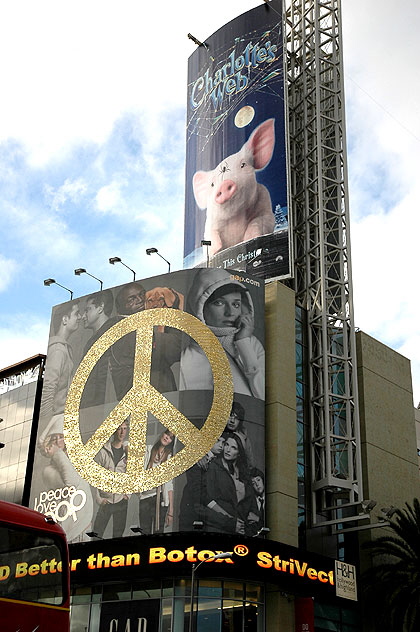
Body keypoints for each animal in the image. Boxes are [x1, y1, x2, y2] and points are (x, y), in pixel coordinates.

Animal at [185, 0, 290, 282]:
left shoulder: (265, 206)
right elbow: (213, 240)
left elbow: (259, 224)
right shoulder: (209, 225)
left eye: (244, 165)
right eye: (212, 184)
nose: (224, 186)